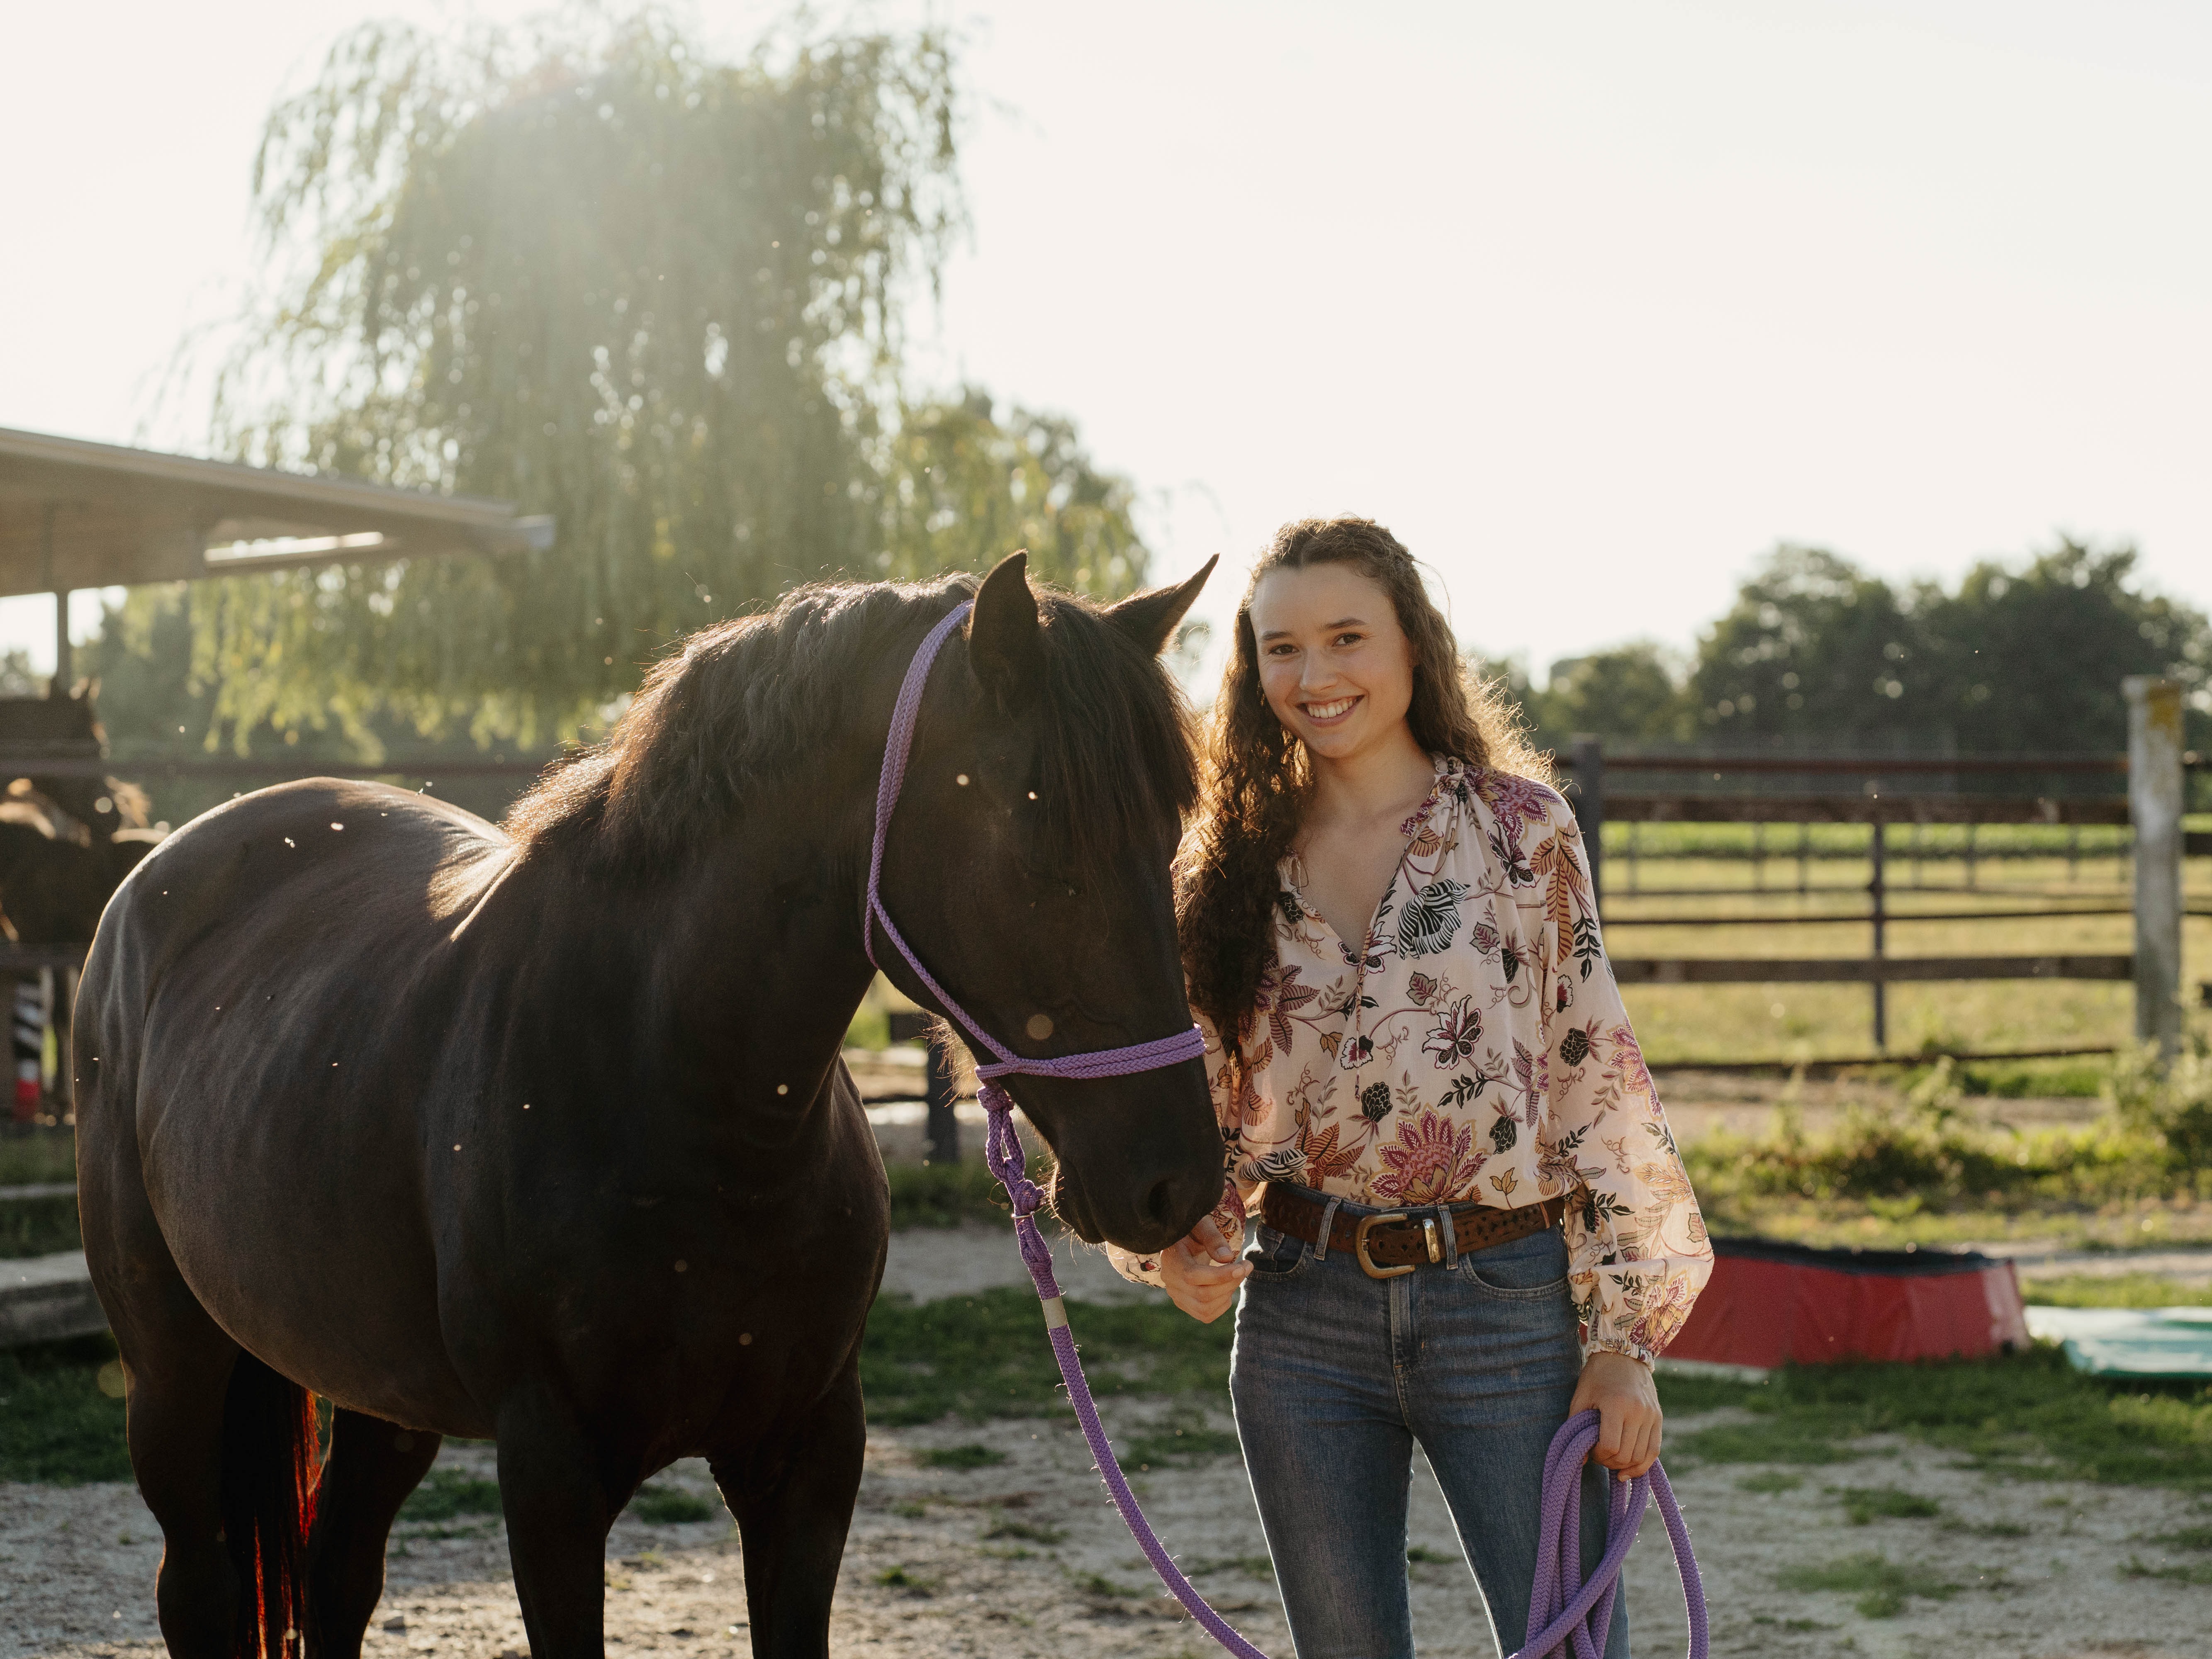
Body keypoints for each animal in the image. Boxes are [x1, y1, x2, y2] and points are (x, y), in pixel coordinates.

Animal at [74, 551, 1222, 1659]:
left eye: (1171, 830)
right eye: (1041, 839)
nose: (1179, 1182)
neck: (683, 1094)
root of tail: (161, 869)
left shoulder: (808, 1461)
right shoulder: (551, 1478)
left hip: (378, 1394)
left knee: (338, 1579)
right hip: (172, 1373)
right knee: (198, 1590)